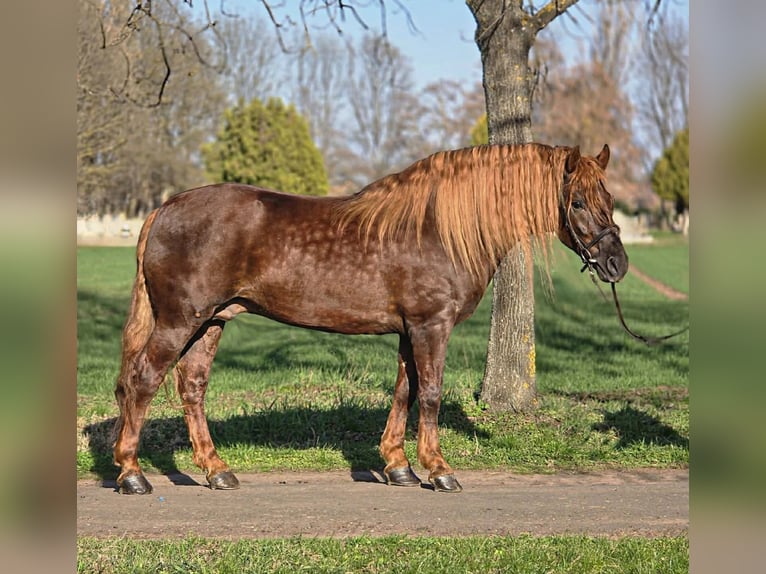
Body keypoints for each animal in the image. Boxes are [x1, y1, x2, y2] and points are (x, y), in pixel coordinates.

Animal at [113, 143, 628, 495]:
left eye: (609, 198)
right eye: (577, 202)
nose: (616, 264)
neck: (436, 229)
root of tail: (164, 208)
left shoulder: (408, 330)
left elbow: (406, 391)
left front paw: (399, 466)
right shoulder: (430, 326)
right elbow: (432, 394)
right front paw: (439, 470)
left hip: (211, 321)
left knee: (192, 386)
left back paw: (216, 470)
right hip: (180, 320)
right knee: (142, 381)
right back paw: (133, 474)